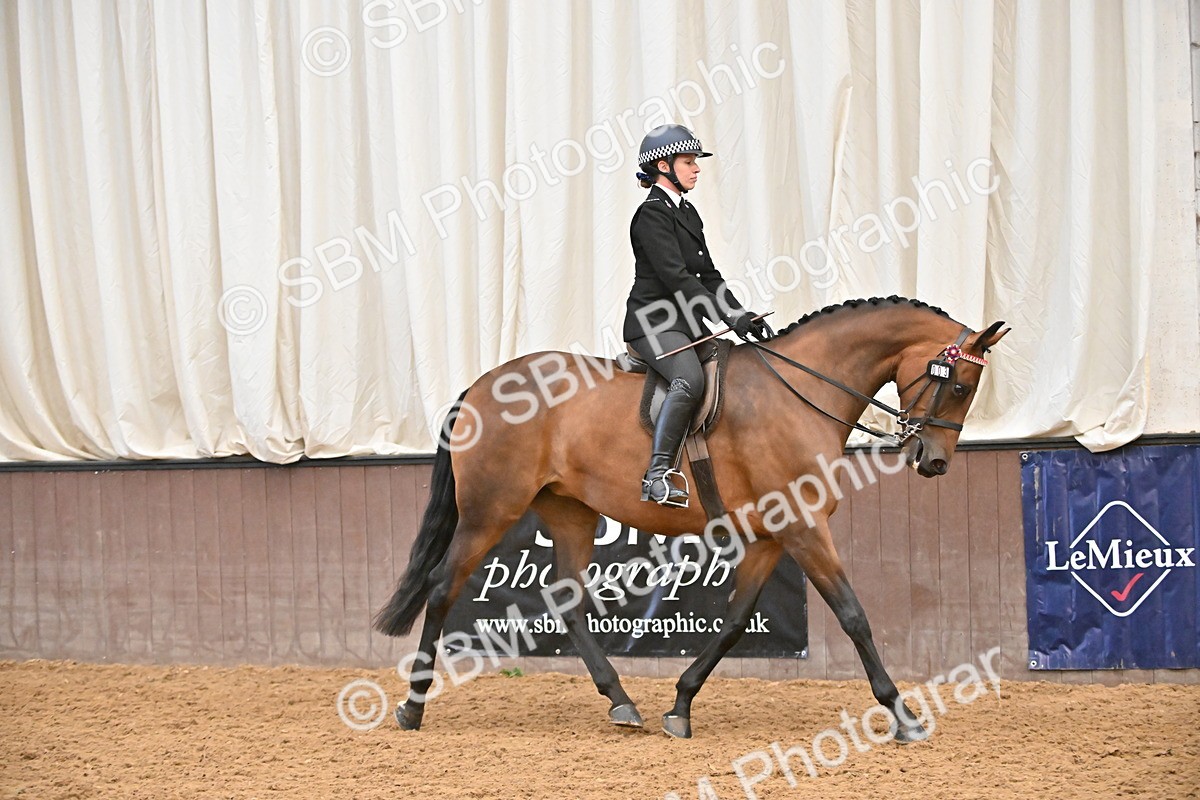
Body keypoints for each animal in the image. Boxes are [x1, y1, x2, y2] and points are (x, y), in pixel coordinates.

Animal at [374, 296, 1008, 740]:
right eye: (960, 385)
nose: (934, 462)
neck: (800, 390)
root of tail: (480, 386)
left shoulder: (771, 536)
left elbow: (734, 621)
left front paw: (679, 706)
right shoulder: (804, 527)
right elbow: (854, 616)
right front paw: (904, 715)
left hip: (570, 511)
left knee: (568, 601)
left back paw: (621, 701)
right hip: (490, 510)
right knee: (442, 586)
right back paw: (411, 706)